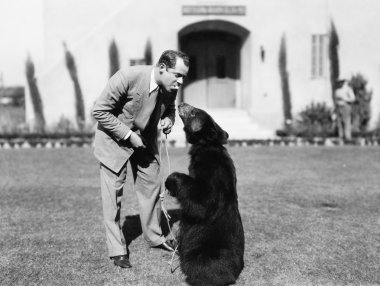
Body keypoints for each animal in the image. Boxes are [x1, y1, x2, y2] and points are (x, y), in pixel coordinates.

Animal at [165, 103, 245, 286]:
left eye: (194, 111)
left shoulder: (212, 173)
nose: (181, 103)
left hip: (205, 253)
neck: (207, 145)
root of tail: (233, 275)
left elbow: (202, 203)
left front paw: (171, 180)